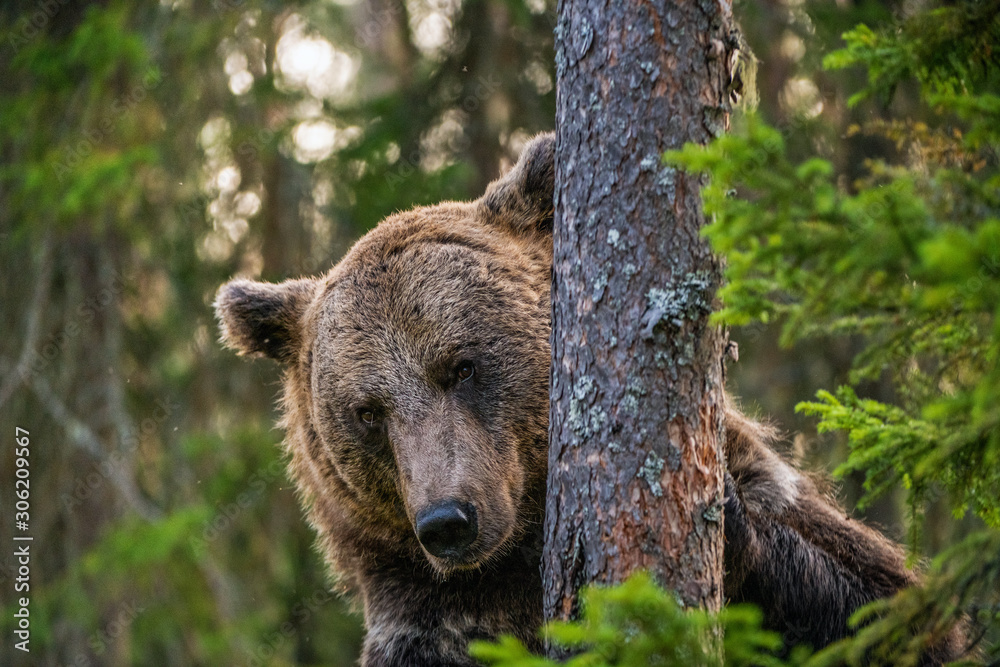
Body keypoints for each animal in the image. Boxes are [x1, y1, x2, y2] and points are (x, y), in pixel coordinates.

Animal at [215, 132, 960, 666]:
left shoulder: (780, 496)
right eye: (368, 411)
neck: (517, 557)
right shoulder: (427, 619)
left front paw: (724, 519)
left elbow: (883, 610)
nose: (448, 519)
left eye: (460, 366)